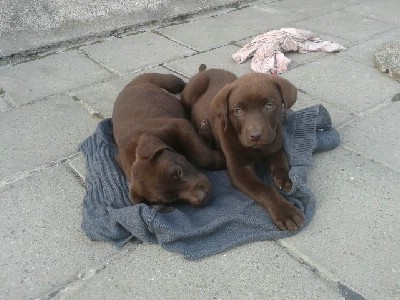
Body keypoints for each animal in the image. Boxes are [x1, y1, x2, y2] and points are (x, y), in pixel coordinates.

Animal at [111, 72, 225, 209]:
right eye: (172, 199)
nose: (203, 197)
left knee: (179, 83)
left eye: (179, 172)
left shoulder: (179, 126)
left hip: (166, 80)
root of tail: (127, 86)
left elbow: (202, 154)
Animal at [183, 67, 304, 231]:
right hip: (190, 93)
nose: (255, 136)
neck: (257, 149)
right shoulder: (239, 170)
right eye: (238, 110)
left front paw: (283, 179)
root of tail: (206, 69)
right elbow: (263, 189)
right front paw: (285, 212)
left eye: (269, 106)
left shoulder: (274, 142)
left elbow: (281, 159)